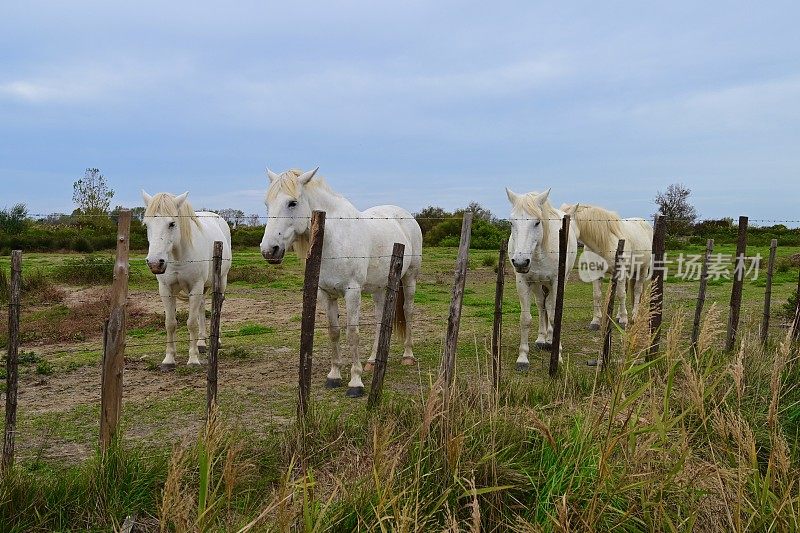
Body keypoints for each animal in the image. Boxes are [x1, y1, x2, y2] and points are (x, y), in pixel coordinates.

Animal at [141, 189, 231, 368]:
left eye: (172, 224)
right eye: (147, 224)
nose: (155, 263)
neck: (177, 257)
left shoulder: (195, 287)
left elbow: (191, 323)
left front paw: (193, 359)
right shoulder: (166, 290)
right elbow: (170, 323)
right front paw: (169, 359)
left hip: (220, 281)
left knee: (217, 306)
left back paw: (215, 341)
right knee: (202, 308)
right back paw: (202, 343)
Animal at [260, 168, 424, 396]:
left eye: (292, 203)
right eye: (267, 204)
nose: (269, 251)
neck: (332, 239)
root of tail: (406, 215)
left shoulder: (352, 292)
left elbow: (352, 333)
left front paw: (355, 382)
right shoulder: (325, 293)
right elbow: (334, 332)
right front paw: (334, 375)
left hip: (410, 277)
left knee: (408, 311)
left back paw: (408, 355)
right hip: (379, 287)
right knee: (380, 318)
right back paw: (373, 361)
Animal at [506, 188, 576, 370]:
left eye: (537, 222)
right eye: (511, 223)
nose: (521, 262)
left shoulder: (557, 281)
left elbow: (554, 316)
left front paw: (558, 355)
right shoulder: (523, 282)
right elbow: (525, 319)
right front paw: (522, 358)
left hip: (560, 281)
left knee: (550, 306)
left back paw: (550, 340)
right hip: (538, 285)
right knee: (541, 304)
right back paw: (542, 338)